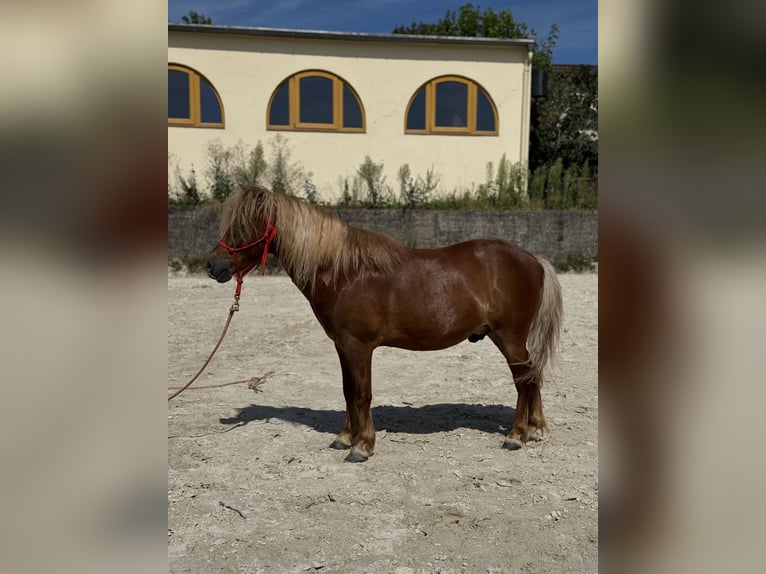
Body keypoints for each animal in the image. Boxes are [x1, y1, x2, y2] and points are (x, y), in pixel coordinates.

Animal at [206, 187, 564, 466]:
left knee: (523, 380)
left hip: (509, 337)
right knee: (532, 375)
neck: (343, 272)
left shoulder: (358, 346)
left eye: (242, 225)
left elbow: (362, 393)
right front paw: (345, 437)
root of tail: (532, 258)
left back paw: (516, 436)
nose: (212, 266)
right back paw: (536, 429)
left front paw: (361, 446)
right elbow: (348, 391)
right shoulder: (342, 346)